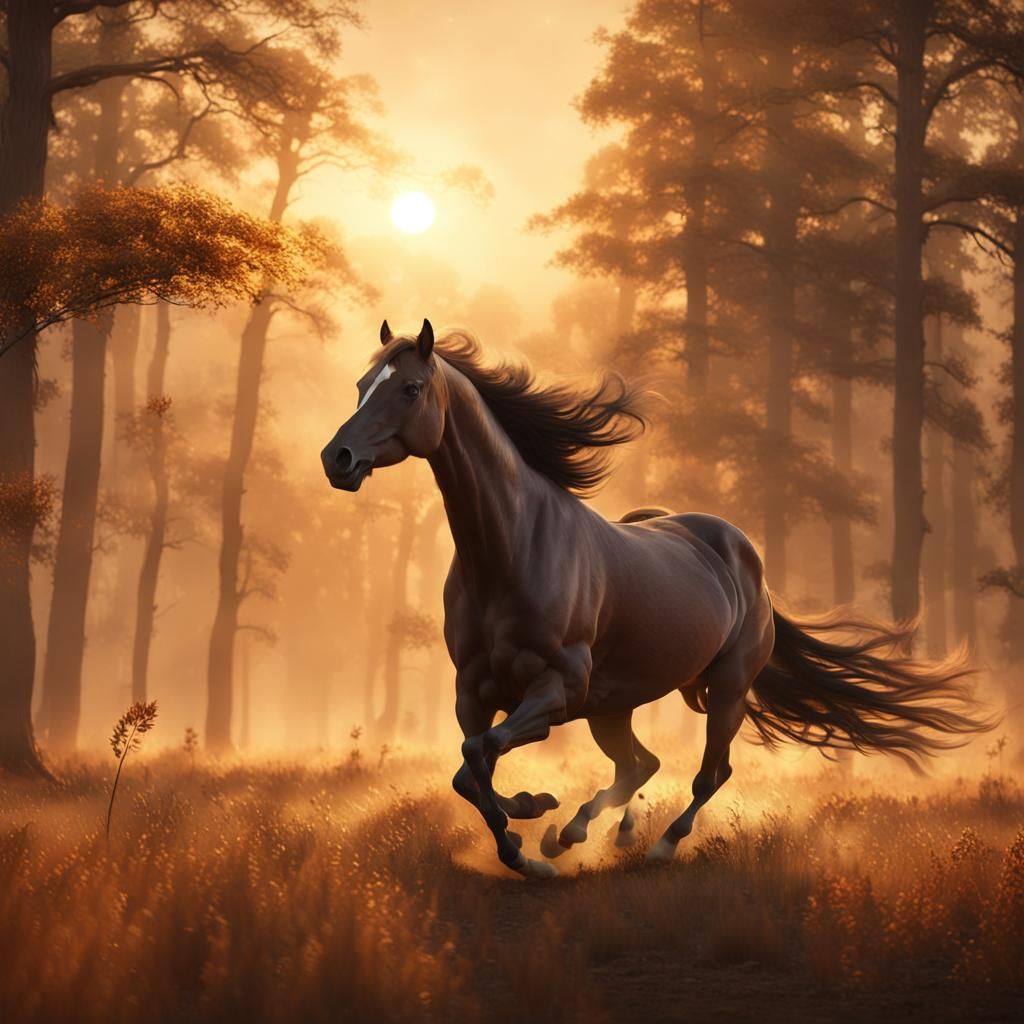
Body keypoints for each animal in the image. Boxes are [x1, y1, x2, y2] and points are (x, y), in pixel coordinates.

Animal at [320, 319, 991, 879]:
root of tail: (745, 556)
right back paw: (581, 832)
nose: (337, 458)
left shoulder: (556, 690)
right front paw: (527, 831)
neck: (509, 550)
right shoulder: (473, 692)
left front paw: (528, 824)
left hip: (722, 691)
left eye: (409, 389)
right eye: (359, 385)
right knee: (639, 766)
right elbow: (468, 768)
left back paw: (655, 844)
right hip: (611, 706)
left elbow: (480, 755)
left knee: (707, 771)